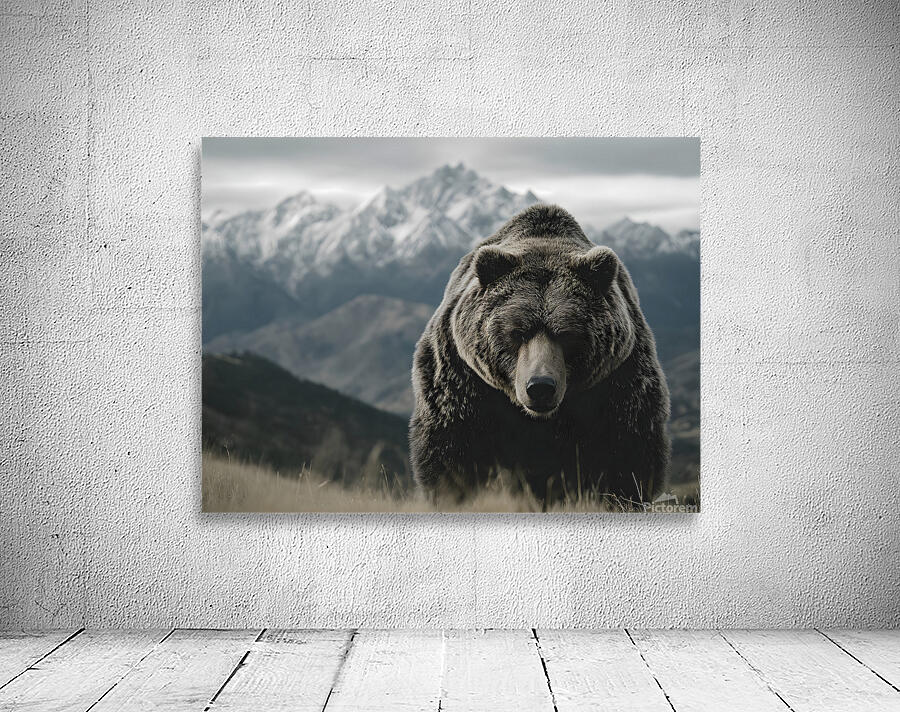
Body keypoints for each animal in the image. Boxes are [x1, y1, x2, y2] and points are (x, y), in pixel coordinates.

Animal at [409, 204, 670, 507]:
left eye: (567, 334)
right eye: (517, 332)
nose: (541, 387)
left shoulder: (619, 383)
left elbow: (626, 457)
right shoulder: (462, 381)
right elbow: (453, 453)